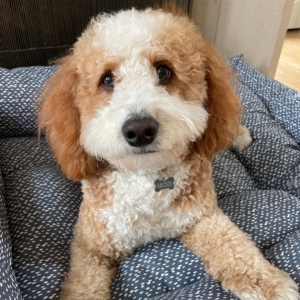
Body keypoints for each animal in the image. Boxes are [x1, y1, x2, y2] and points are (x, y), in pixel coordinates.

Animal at [38, 5, 298, 300]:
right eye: (107, 80)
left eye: (163, 71)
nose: (140, 130)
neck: (148, 175)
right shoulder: (91, 248)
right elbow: (84, 286)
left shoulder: (202, 217)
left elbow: (235, 248)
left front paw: (268, 281)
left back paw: (240, 136)